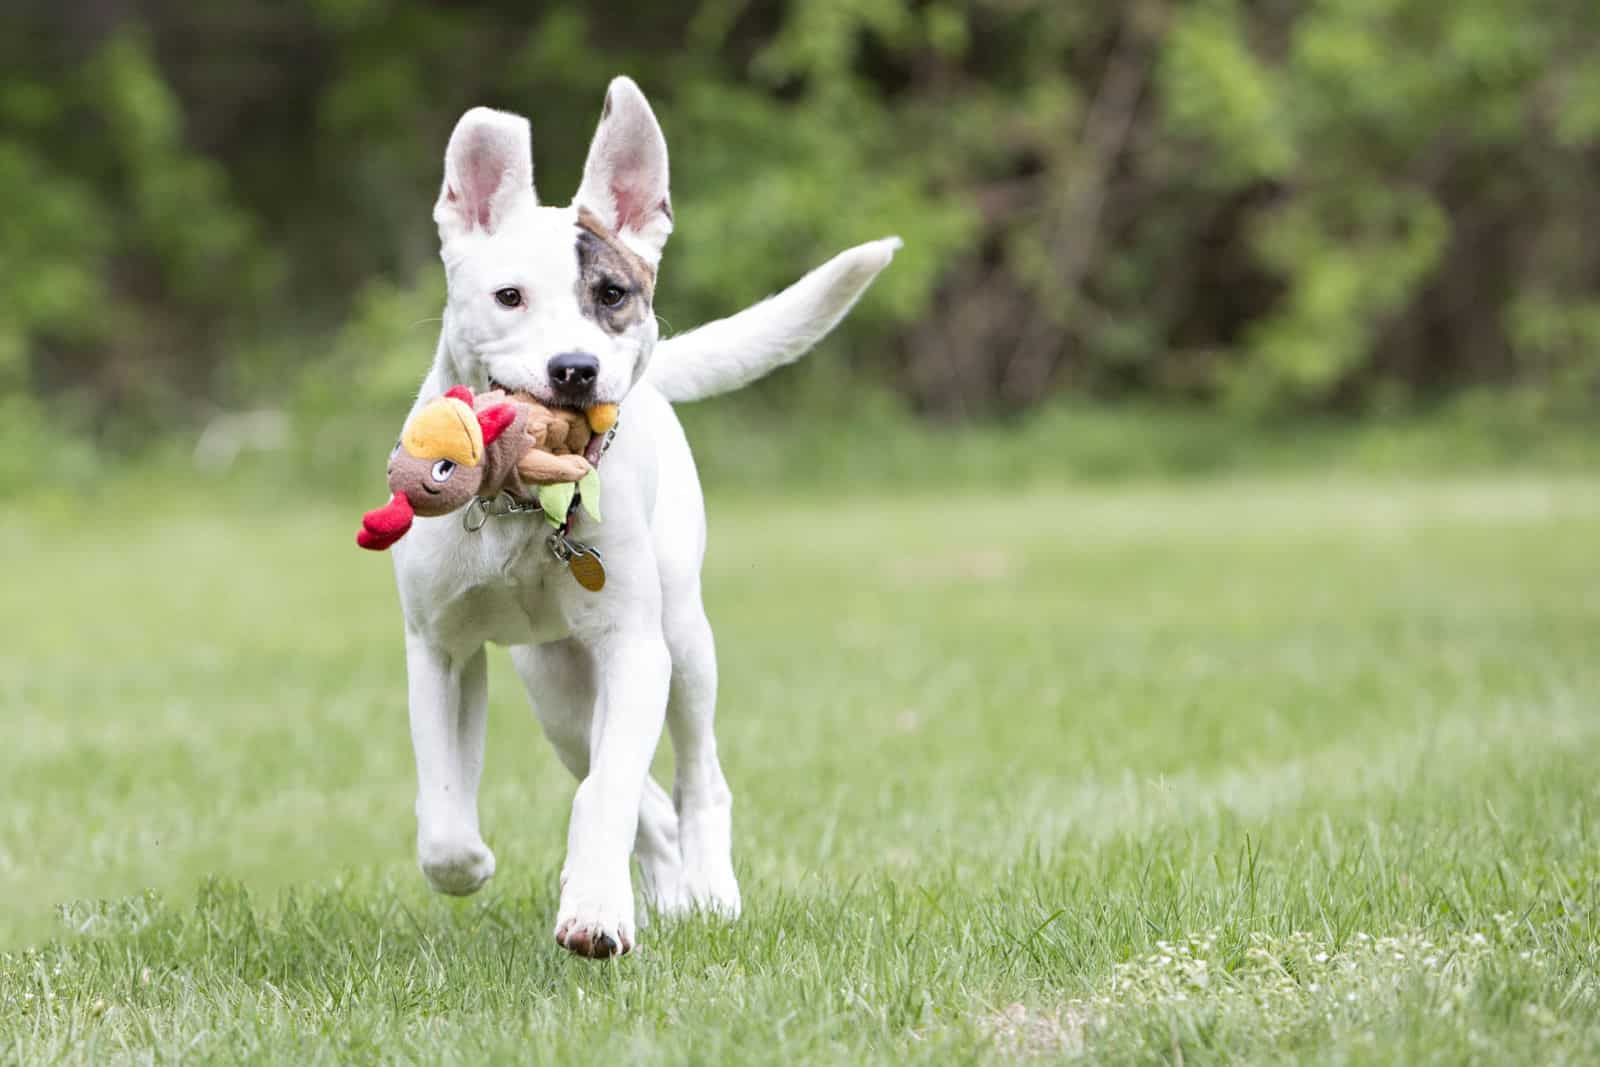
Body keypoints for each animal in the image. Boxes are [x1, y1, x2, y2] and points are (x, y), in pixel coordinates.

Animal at [388, 77, 902, 959]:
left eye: (612, 295)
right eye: (509, 297)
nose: (575, 369)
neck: (522, 506)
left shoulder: (635, 645)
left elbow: (611, 789)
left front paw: (595, 909)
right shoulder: (440, 649)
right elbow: (448, 819)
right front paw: (478, 863)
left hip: (685, 643)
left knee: (696, 777)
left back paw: (711, 892)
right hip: (556, 689)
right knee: (638, 797)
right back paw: (668, 893)